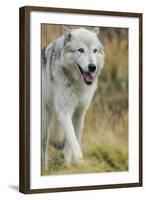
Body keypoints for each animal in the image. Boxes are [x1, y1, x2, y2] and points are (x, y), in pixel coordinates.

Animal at [41, 25, 104, 170]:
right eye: (81, 50)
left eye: (94, 50)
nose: (92, 67)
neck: (77, 84)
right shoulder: (65, 113)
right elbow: (74, 144)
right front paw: (81, 164)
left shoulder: (79, 113)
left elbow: (71, 143)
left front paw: (68, 166)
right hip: (45, 122)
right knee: (44, 145)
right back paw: (44, 169)